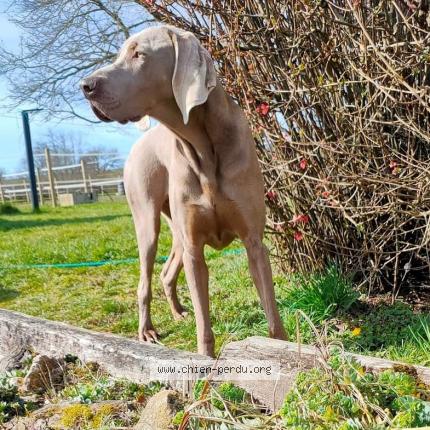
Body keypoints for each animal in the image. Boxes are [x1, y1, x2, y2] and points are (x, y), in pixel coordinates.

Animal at [81, 25, 287, 357]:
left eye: (139, 54)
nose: (85, 85)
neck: (204, 149)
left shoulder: (254, 242)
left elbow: (271, 314)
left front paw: (279, 349)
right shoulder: (193, 249)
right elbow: (204, 324)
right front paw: (205, 360)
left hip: (175, 228)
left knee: (165, 273)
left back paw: (178, 313)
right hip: (147, 222)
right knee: (144, 281)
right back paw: (147, 331)